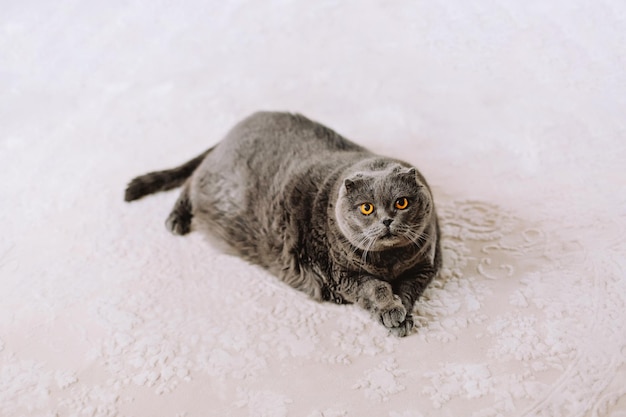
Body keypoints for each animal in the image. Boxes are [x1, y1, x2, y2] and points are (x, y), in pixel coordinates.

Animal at [125, 112, 438, 336]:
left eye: (401, 203)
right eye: (366, 208)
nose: (386, 220)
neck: (389, 261)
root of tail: (233, 131)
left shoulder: (424, 268)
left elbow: (407, 292)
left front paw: (401, 316)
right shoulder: (341, 274)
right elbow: (376, 288)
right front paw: (390, 311)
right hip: (212, 182)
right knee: (189, 182)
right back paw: (176, 220)